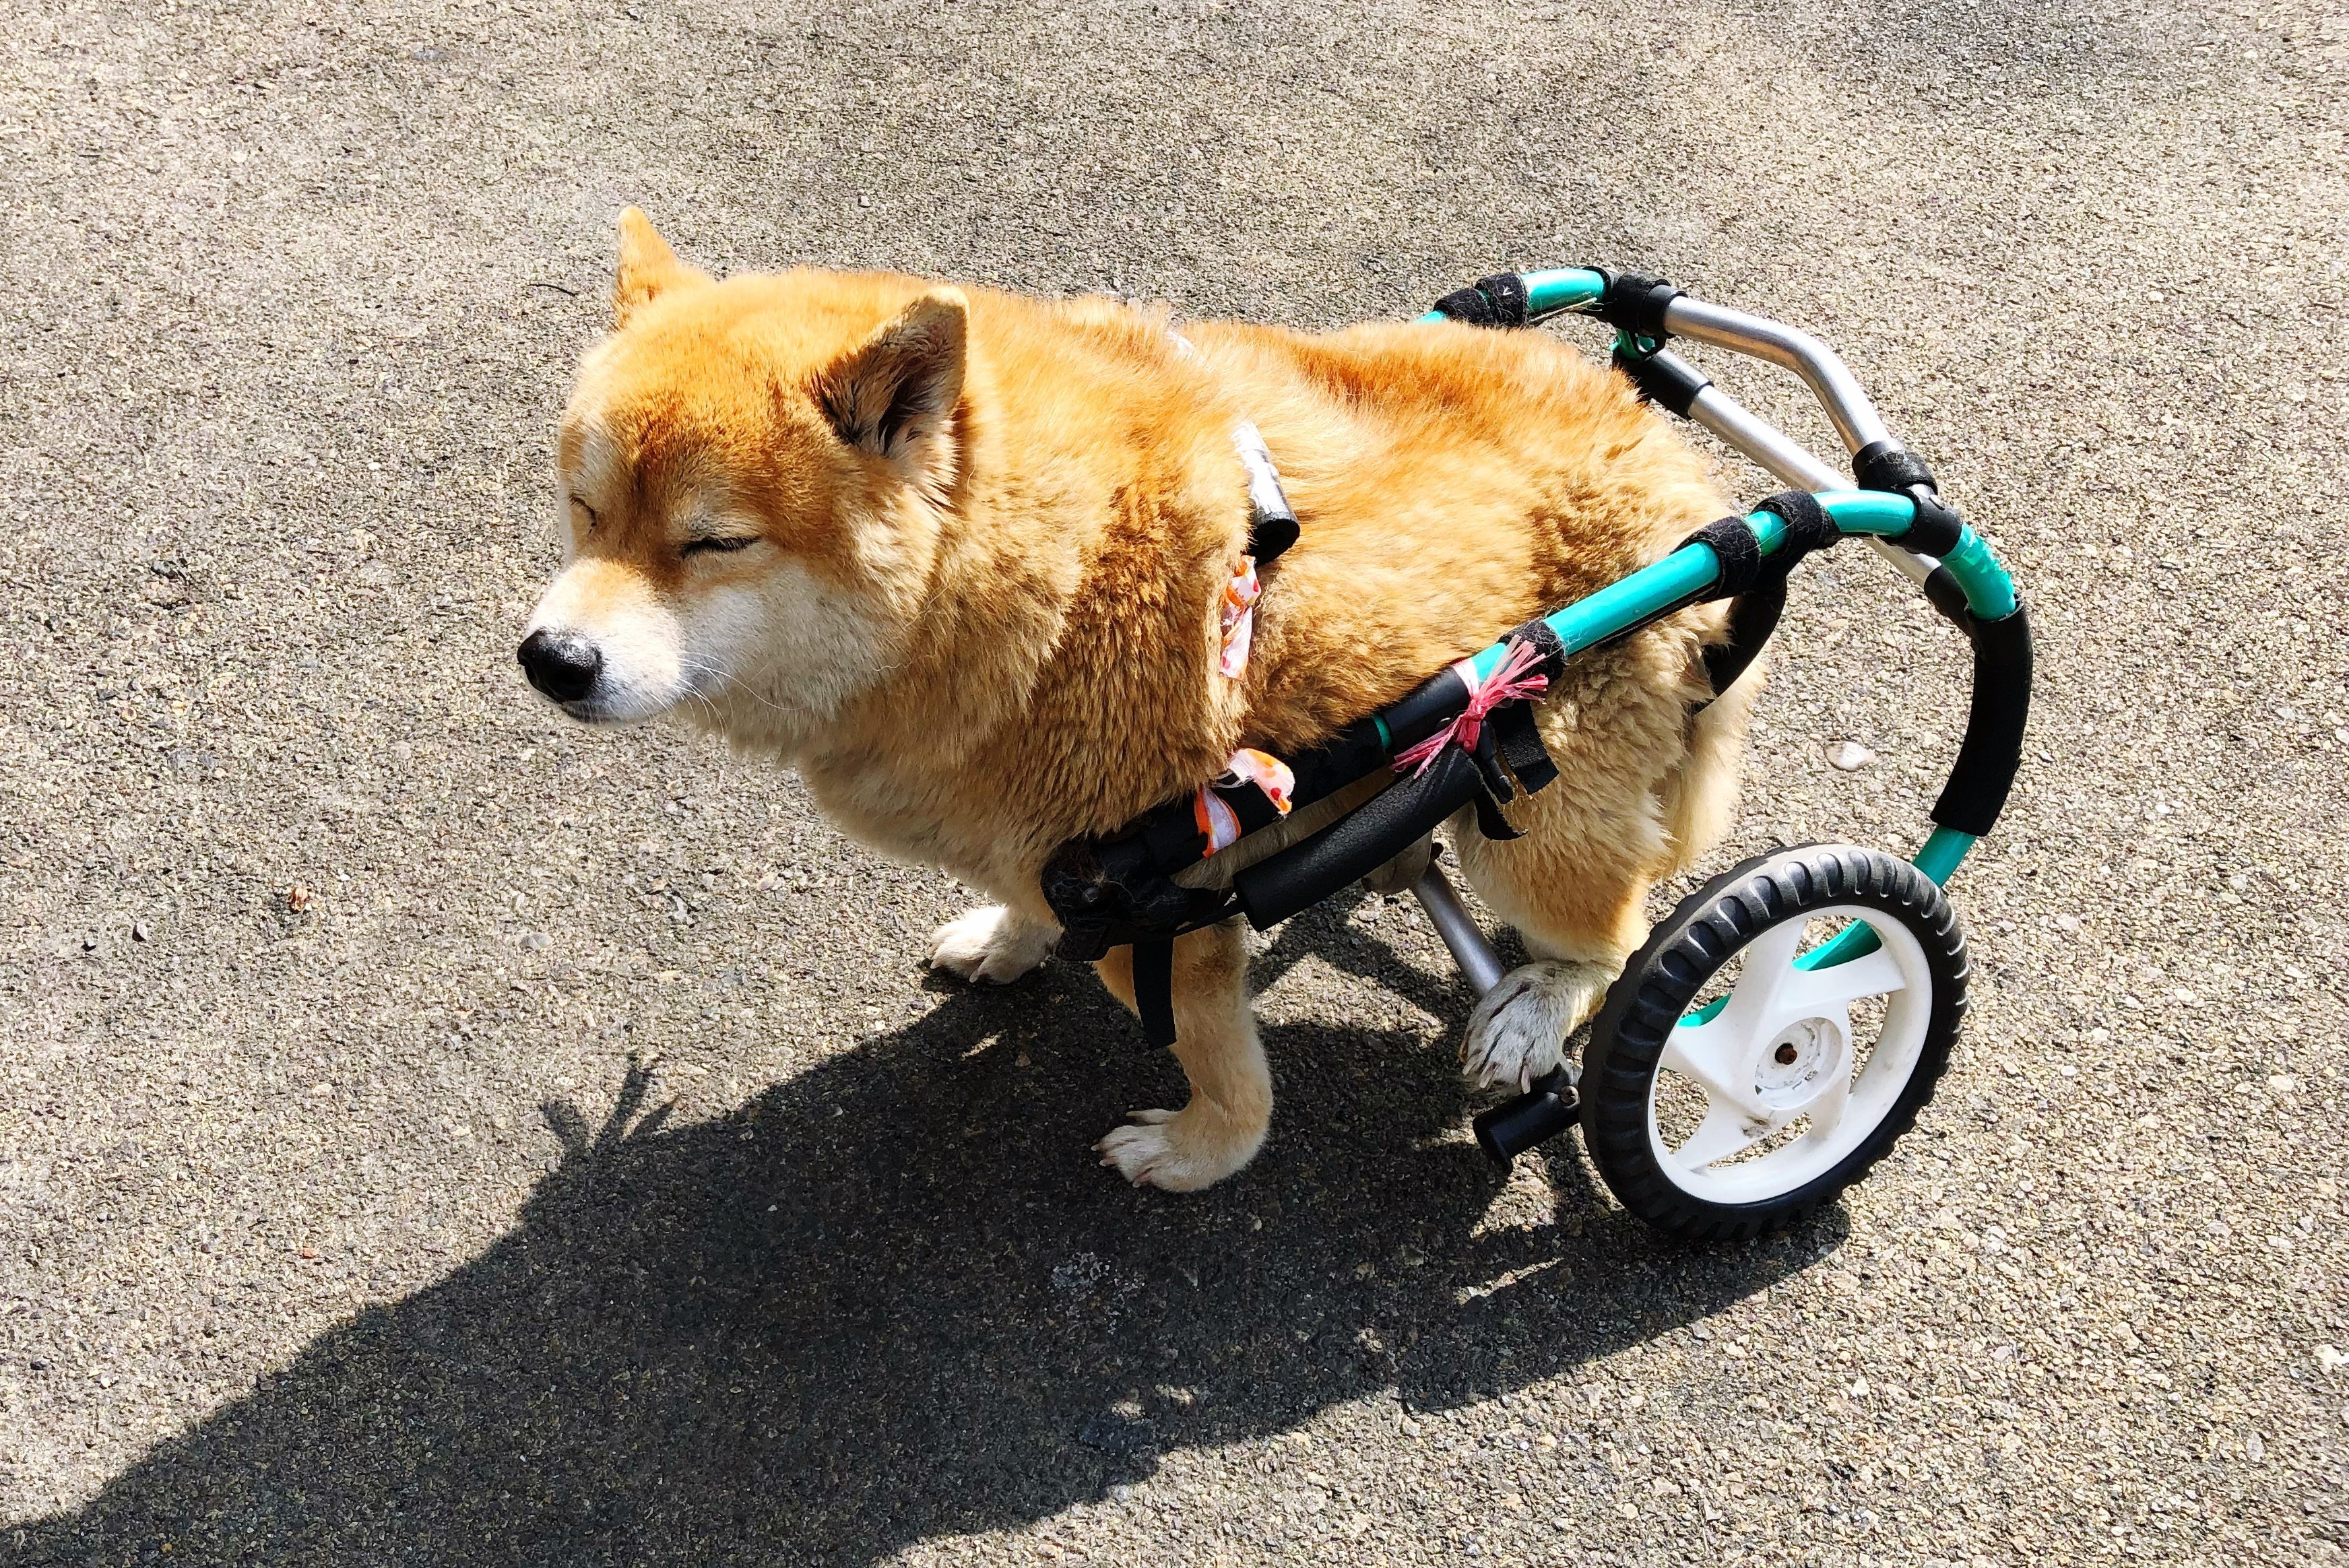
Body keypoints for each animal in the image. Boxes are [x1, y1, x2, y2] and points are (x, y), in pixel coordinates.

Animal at [519, 207, 1766, 1187]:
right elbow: (1024, 900)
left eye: (711, 543)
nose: (551, 658)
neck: (1032, 575)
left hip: (1528, 805)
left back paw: (1536, 1010)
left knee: (1618, 933)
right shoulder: (1055, 854)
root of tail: (1685, 472)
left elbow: (1228, 1078)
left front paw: (1196, 1154)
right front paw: (1006, 941)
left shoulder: (1166, 912)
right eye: (585, 509)